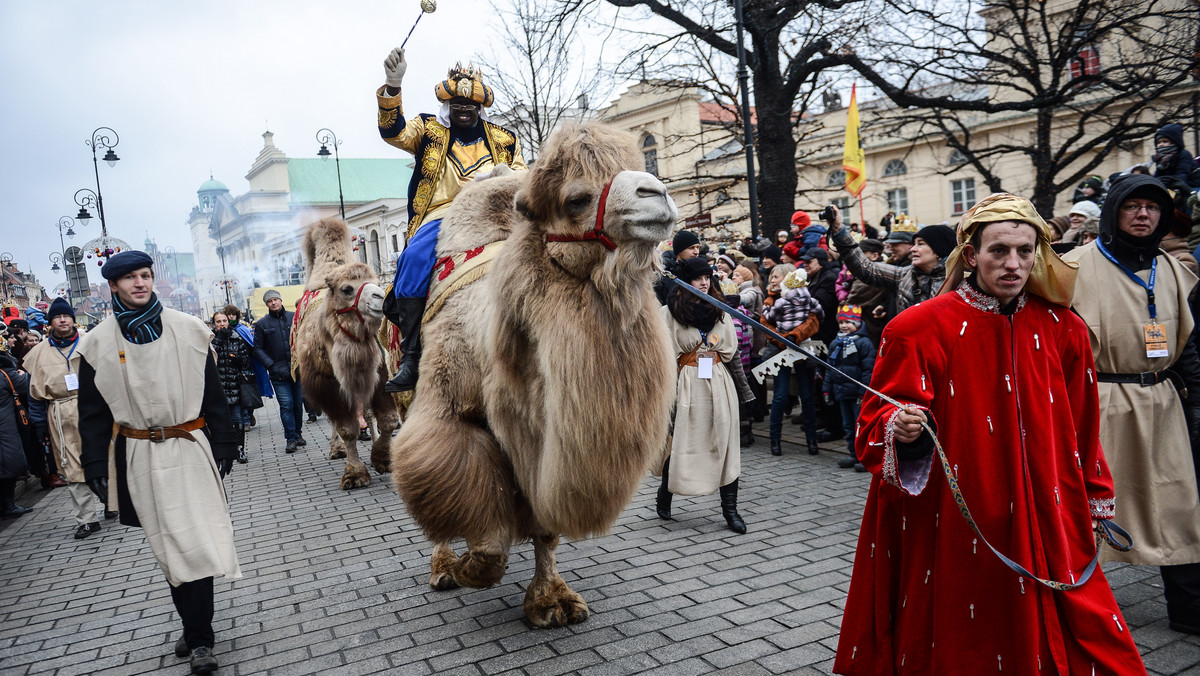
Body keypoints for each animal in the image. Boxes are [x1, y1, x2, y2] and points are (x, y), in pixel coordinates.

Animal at [292, 219, 400, 489]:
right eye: (347, 289)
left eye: (374, 280)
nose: (380, 297)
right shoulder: (328, 384)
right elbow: (347, 428)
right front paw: (355, 473)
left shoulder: (380, 375)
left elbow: (388, 420)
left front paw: (382, 457)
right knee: (336, 422)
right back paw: (337, 449)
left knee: (368, 414)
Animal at [391, 123, 681, 629]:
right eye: (577, 198)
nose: (657, 194)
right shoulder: (448, 411)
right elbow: (463, 498)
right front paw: (472, 567)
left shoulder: (542, 435)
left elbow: (544, 526)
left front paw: (551, 601)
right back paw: (444, 566)